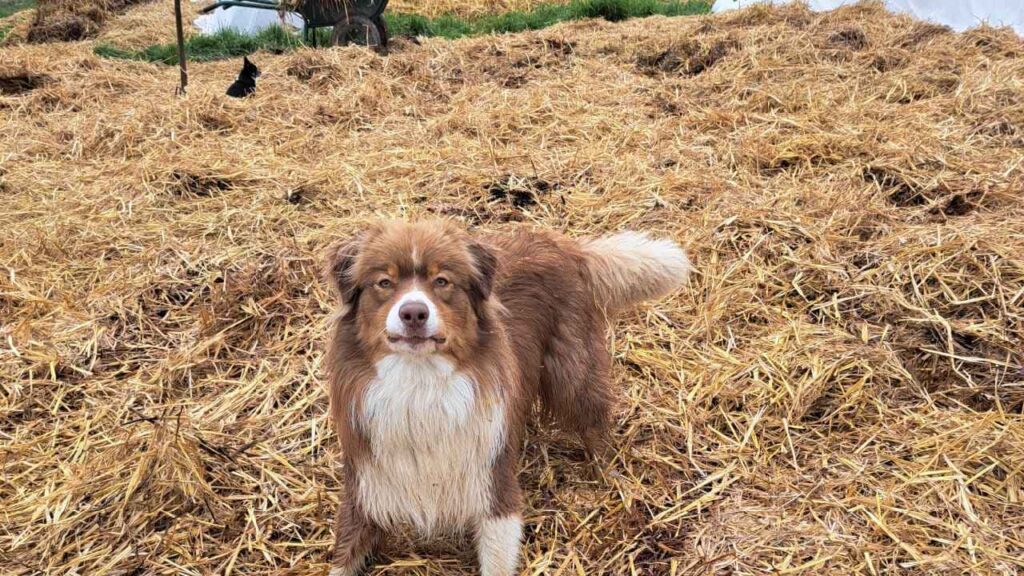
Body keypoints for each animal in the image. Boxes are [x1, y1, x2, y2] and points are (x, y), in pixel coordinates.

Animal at [319, 219, 688, 573]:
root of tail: (560, 243)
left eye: (442, 281)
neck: (420, 386)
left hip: (573, 373)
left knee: (595, 426)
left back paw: (610, 477)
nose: (413, 313)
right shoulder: (365, 489)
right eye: (384, 283)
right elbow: (342, 560)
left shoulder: (494, 488)